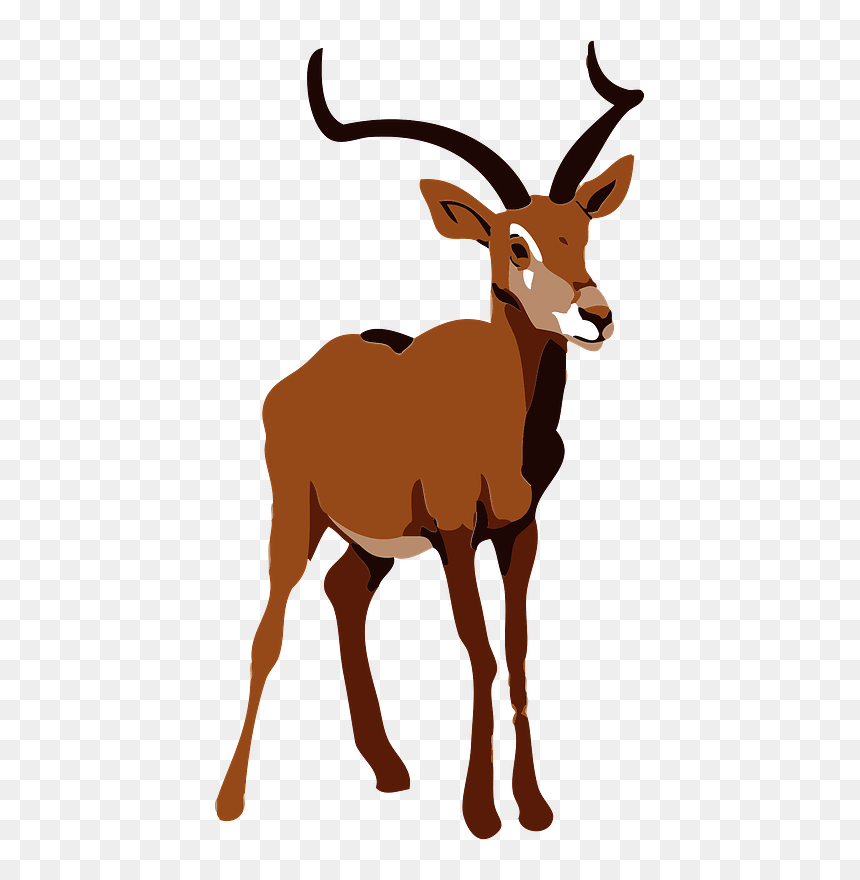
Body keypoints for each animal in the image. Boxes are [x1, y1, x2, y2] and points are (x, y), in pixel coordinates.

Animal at [216, 42, 644, 838]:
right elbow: (479, 651)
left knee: (343, 591)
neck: (501, 422)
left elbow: (517, 650)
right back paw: (231, 800)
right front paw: (481, 813)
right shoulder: (453, 530)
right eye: (514, 242)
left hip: (373, 542)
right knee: (269, 629)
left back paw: (389, 770)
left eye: (581, 230)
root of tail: (298, 379)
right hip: (296, 515)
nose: (595, 316)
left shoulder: (518, 530)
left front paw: (533, 807)